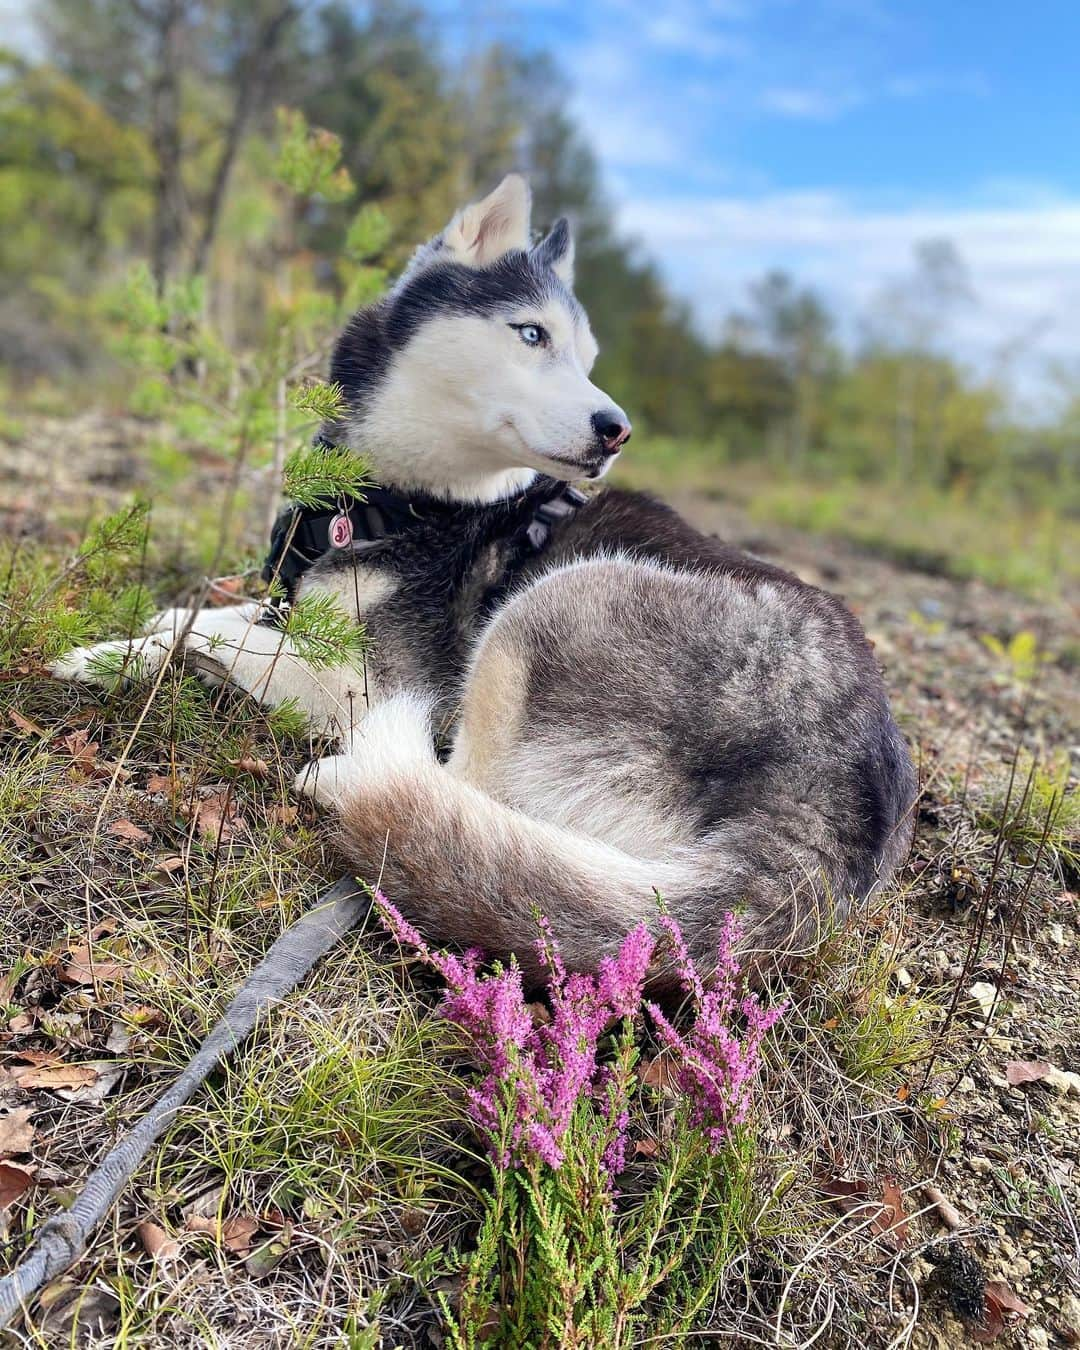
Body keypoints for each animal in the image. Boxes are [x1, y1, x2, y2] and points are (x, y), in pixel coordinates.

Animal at [50, 176, 918, 982]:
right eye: (533, 334)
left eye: (587, 360)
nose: (617, 429)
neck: (399, 501)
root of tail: (837, 819)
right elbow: (206, 616)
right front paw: (121, 646)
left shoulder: (372, 681)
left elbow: (213, 634)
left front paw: (127, 651)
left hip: (550, 608)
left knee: (455, 784)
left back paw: (351, 781)